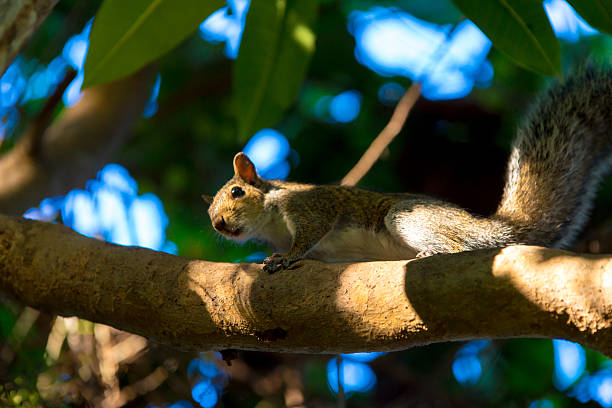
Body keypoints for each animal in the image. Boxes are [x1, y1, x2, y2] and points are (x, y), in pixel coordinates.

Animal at [204, 65, 612, 272]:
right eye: (209, 213)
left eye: (237, 191)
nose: (219, 224)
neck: (270, 221)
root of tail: (492, 228)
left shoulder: (307, 205)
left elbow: (311, 231)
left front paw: (287, 257)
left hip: (411, 216)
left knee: (457, 245)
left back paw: (437, 253)